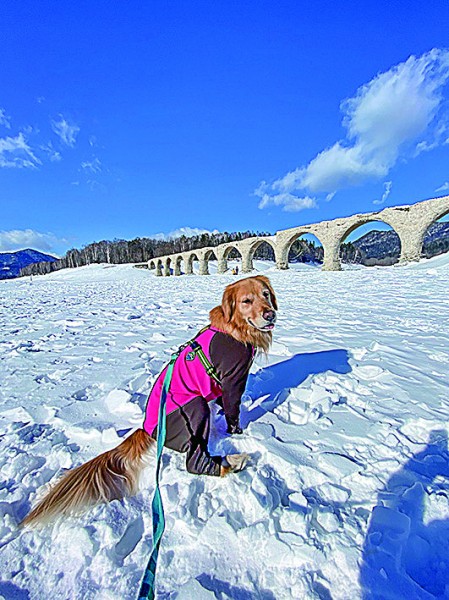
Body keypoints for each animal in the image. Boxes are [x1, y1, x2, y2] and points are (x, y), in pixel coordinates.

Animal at [22, 276, 278, 524]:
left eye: (266, 294)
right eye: (246, 301)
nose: (270, 314)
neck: (236, 329)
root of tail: (146, 428)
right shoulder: (233, 380)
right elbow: (233, 411)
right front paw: (237, 433)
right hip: (194, 409)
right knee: (194, 462)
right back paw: (232, 462)